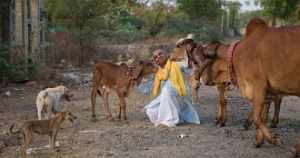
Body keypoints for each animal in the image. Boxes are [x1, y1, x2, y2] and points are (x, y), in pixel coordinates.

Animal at [198, 17, 300, 148]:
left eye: (205, 59)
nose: (202, 79)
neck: (237, 54)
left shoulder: (259, 85)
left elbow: (257, 117)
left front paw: (274, 139)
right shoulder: (268, 92)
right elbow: (263, 116)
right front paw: (259, 140)